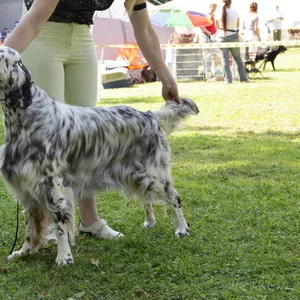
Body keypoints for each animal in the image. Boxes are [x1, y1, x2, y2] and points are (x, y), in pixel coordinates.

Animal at [0, 45, 199, 266]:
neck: (25, 117)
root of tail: (149, 115)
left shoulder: (54, 187)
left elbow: (60, 226)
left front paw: (64, 257)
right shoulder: (26, 190)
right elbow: (30, 228)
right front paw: (24, 251)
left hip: (154, 175)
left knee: (174, 198)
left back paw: (182, 229)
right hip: (136, 175)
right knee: (146, 199)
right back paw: (150, 222)